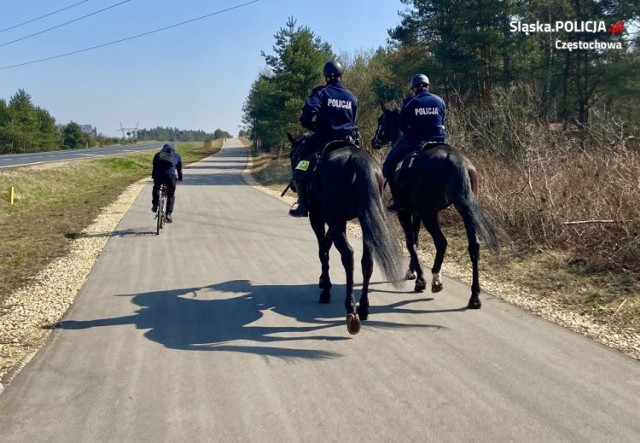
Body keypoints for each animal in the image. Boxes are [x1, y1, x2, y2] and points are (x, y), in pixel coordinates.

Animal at [288, 134, 402, 334]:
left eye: (293, 155)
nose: (294, 185)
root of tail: (358, 161)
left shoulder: (318, 218)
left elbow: (322, 251)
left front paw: (325, 287)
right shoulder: (335, 222)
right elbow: (327, 246)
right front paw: (323, 281)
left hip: (335, 220)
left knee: (348, 256)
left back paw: (350, 308)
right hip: (365, 220)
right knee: (367, 261)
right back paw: (363, 308)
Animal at [370, 106, 500, 310]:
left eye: (380, 121)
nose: (374, 141)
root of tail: (458, 161)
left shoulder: (405, 212)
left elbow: (410, 242)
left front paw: (419, 279)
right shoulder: (416, 213)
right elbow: (414, 239)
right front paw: (412, 272)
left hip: (430, 214)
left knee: (441, 242)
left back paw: (435, 280)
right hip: (465, 210)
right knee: (474, 246)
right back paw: (474, 296)